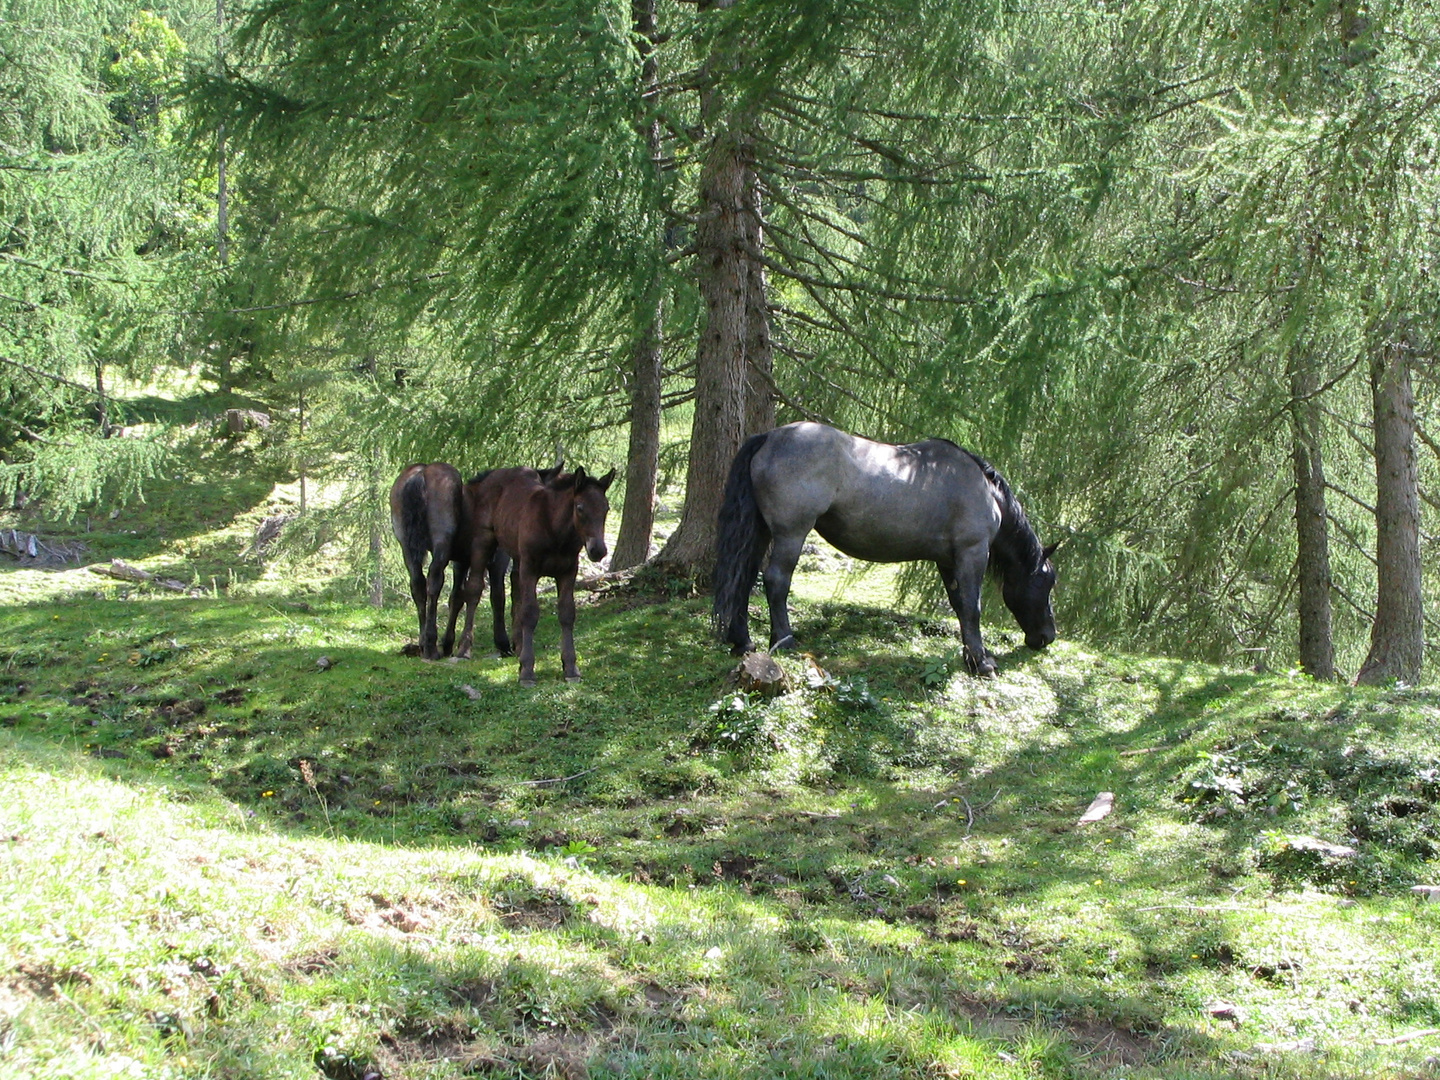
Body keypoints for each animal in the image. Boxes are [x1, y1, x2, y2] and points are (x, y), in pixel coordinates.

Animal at [457, 466, 610, 685]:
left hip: (516, 556)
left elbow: (566, 613)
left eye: (606, 508)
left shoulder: (567, 571)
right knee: (475, 589)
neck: (555, 529)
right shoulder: (530, 569)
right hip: (484, 540)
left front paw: (571, 667)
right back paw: (464, 648)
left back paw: (518, 645)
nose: (598, 550)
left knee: (515, 591)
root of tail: (492, 474)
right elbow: (530, 613)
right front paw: (527, 671)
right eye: (580, 507)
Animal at [711, 423, 1059, 676]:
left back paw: (742, 642)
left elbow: (961, 607)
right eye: (1046, 583)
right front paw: (982, 662)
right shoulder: (972, 552)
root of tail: (770, 436)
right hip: (790, 534)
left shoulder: (948, 561)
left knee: (743, 578)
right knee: (776, 581)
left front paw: (971, 656)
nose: (1047, 636)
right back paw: (784, 640)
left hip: (761, 533)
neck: (980, 487)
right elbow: (973, 608)